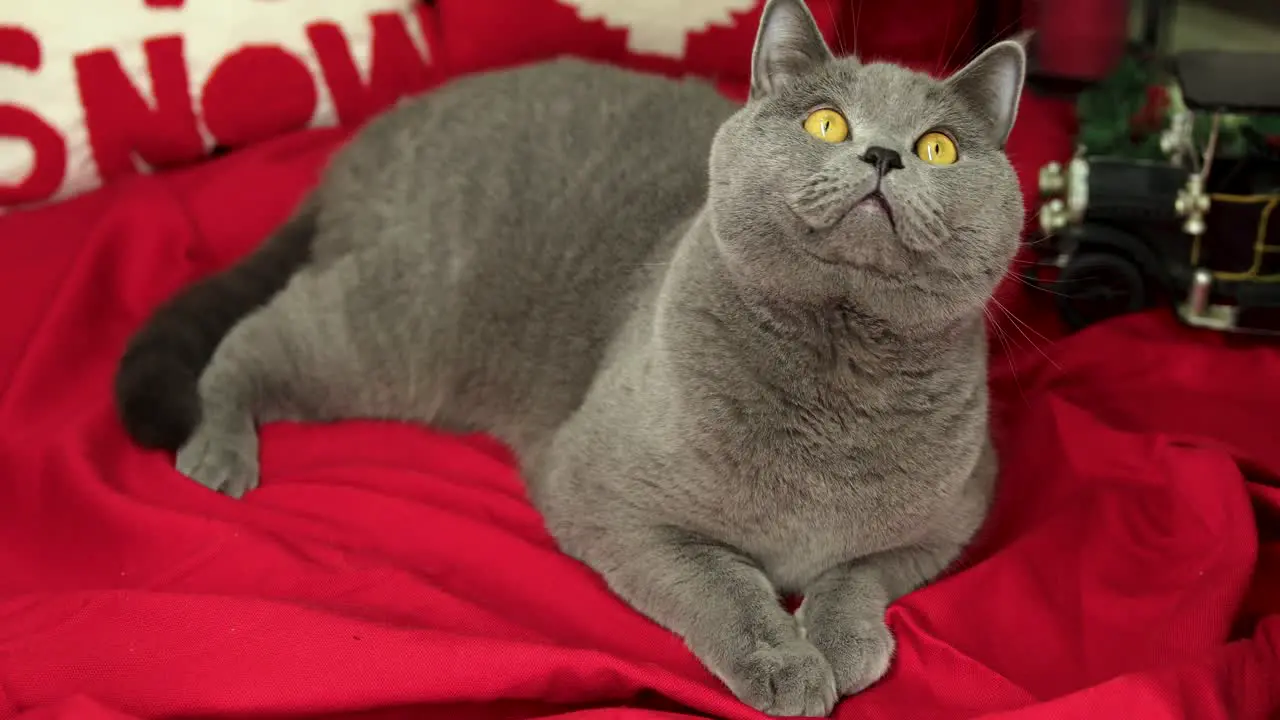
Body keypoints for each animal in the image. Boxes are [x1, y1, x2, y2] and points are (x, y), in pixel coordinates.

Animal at [112, 1, 1029, 712]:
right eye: (826, 122)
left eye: (940, 147)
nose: (884, 154)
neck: (838, 364)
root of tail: (372, 141)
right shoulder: (603, 493)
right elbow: (721, 582)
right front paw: (786, 664)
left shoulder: (962, 509)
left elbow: (859, 572)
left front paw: (841, 644)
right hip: (392, 329)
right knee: (250, 340)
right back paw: (217, 451)